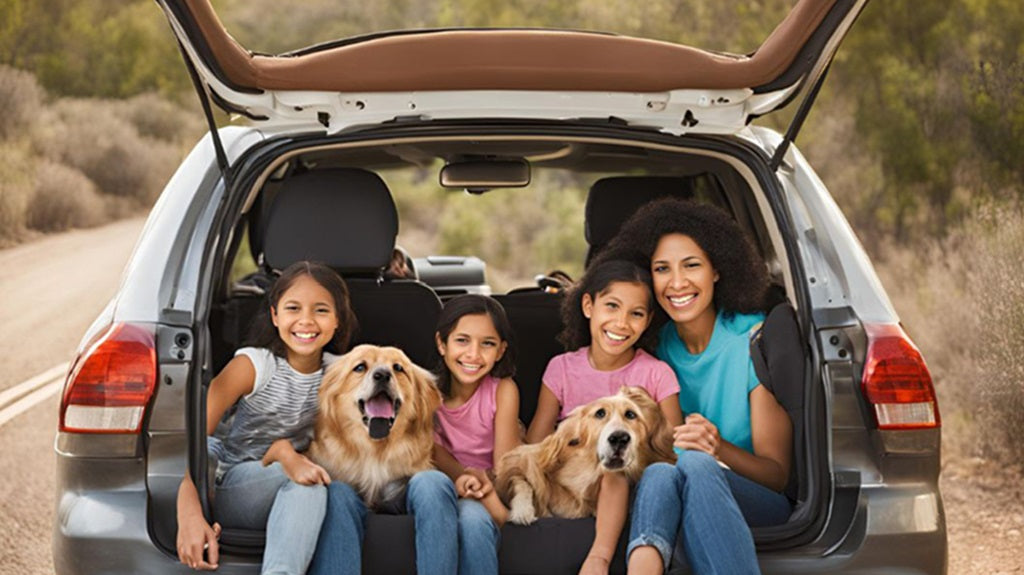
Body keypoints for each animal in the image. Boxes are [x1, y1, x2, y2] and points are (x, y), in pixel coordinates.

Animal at [493, 384, 675, 523]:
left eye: (631, 414)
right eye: (600, 413)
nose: (620, 438)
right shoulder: (520, 461)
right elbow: (521, 480)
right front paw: (522, 511)